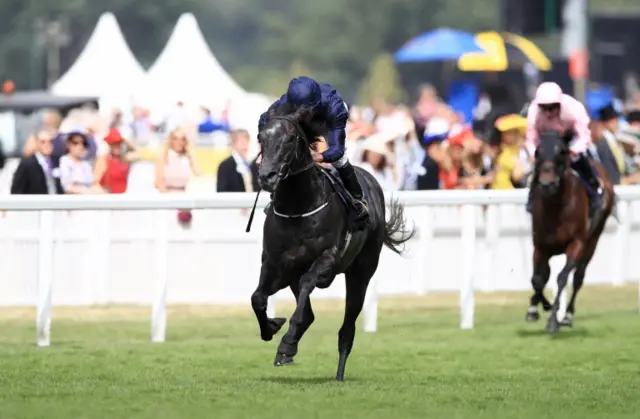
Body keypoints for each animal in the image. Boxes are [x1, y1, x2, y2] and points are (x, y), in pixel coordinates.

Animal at [250, 106, 416, 380]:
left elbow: (307, 284)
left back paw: (338, 374)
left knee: (347, 329)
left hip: (361, 273)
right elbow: (258, 298)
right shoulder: (275, 264)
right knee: (308, 314)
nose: (266, 176)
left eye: (290, 139)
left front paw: (286, 344)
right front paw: (273, 327)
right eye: (261, 138)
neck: (298, 209)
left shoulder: (327, 259)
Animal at [524, 130, 616, 334]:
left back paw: (567, 316)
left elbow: (562, 278)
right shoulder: (540, 246)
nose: (547, 184)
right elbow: (538, 279)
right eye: (537, 152)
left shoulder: (577, 243)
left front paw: (553, 321)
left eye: (562, 151)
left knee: (578, 277)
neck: (556, 210)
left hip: (593, 240)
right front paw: (536, 308)